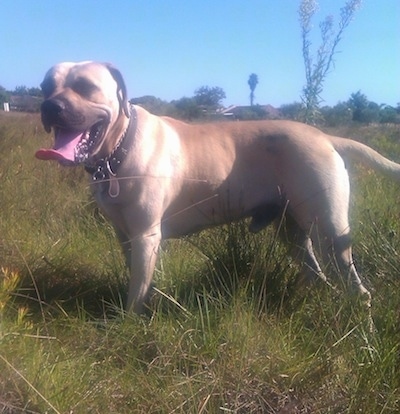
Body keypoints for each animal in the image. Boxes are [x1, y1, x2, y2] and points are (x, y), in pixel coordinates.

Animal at [33, 60, 400, 314]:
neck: (119, 145)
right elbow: (137, 275)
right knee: (316, 274)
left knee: (355, 285)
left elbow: (137, 289)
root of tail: (326, 137)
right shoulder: (125, 235)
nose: (49, 106)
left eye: (85, 86)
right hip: (291, 230)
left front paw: (129, 321)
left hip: (330, 230)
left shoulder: (146, 235)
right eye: (46, 86)